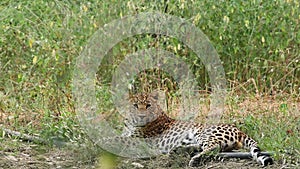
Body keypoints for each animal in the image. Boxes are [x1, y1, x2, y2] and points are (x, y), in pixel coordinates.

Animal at [118, 92, 274, 168]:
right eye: (135, 105)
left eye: (148, 105)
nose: (141, 116)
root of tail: (238, 129)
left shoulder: (138, 140)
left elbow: (117, 138)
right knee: (203, 147)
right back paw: (178, 150)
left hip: (205, 133)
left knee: (213, 147)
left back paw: (194, 160)